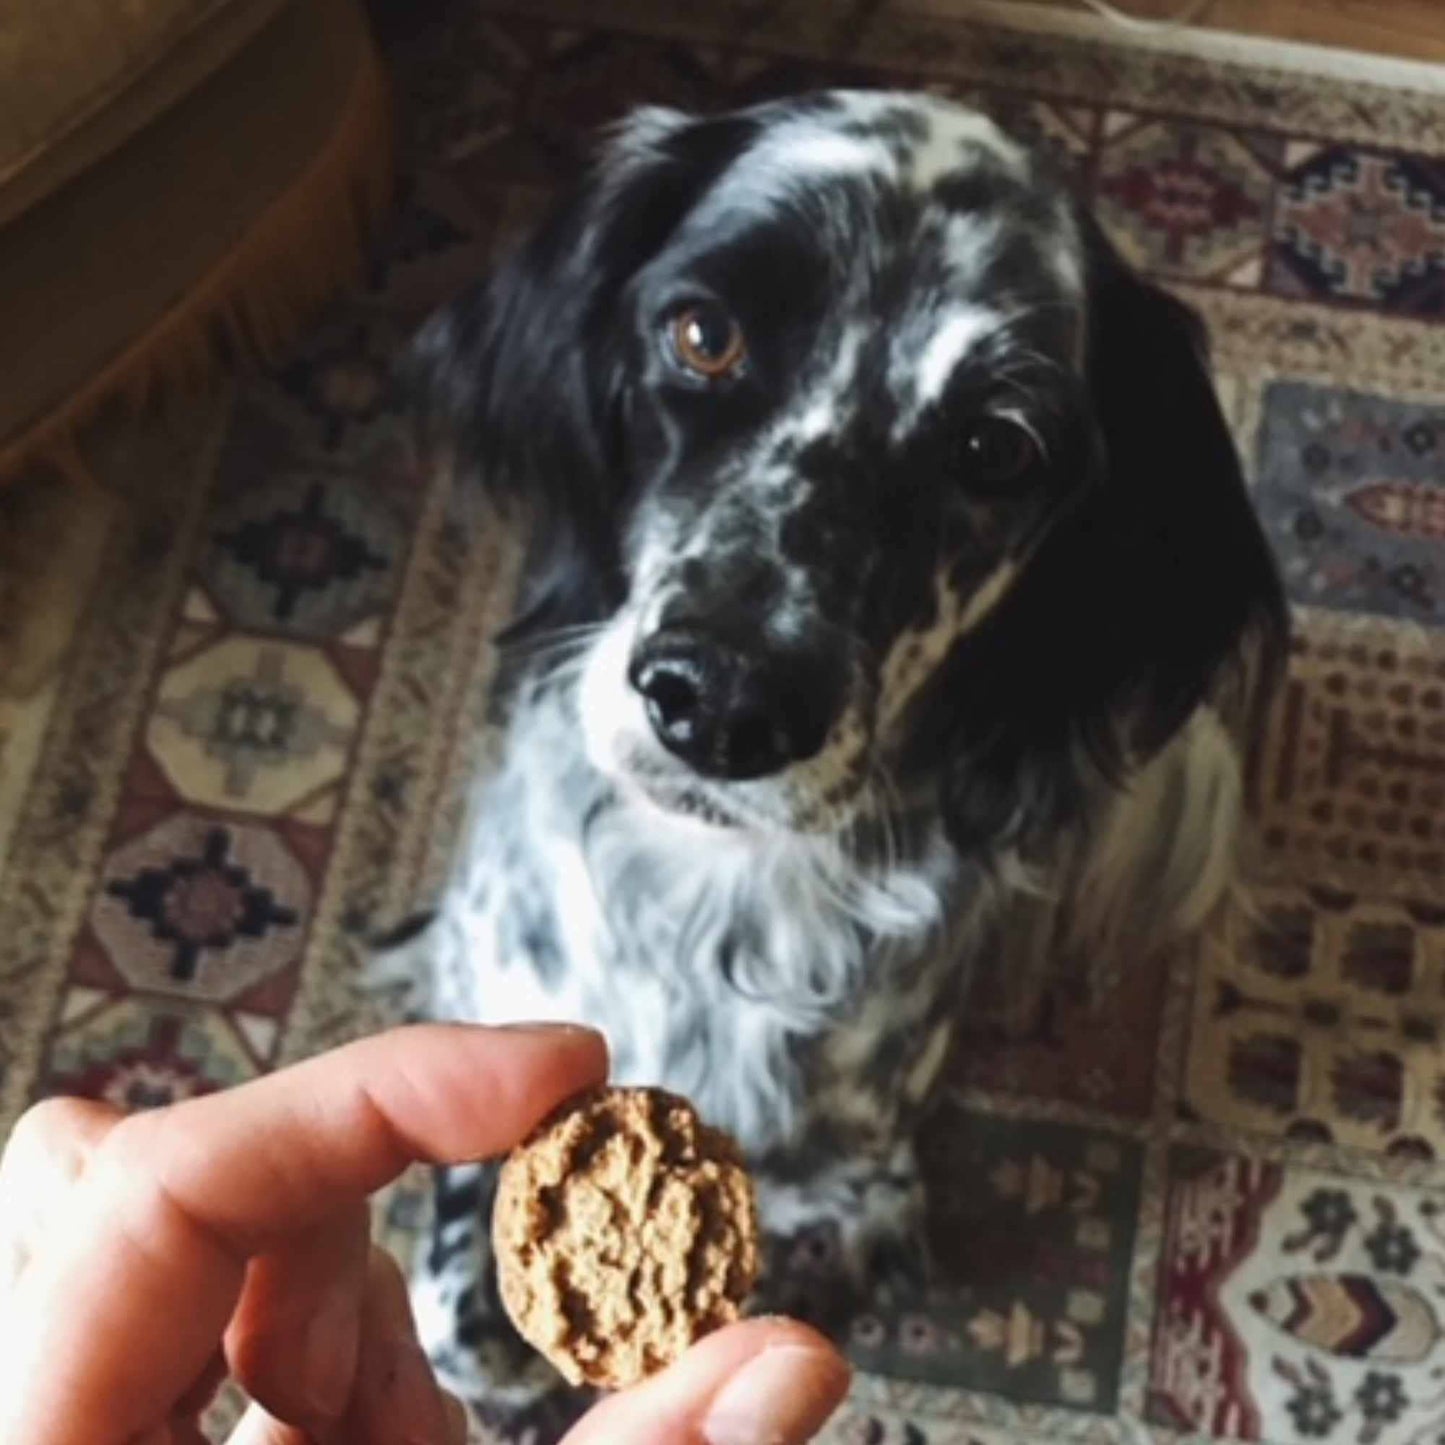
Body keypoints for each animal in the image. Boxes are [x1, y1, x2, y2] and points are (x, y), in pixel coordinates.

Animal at [384, 90, 1288, 1421]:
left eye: (996, 446)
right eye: (702, 335)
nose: (720, 702)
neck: (708, 909)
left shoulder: (860, 1180)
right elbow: (455, 1315)